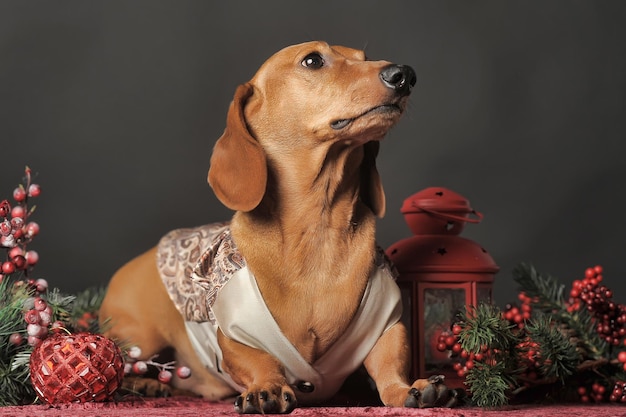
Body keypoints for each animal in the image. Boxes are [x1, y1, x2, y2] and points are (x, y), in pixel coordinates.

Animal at [100, 40, 456, 412]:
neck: (318, 231)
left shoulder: (387, 321)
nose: (404, 75)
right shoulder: (235, 333)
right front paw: (266, 387)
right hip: (140, 338)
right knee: (124, 361)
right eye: (312, 60)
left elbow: (389, 364)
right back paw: (144, 382)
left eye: (364, 57)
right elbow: (259, 360)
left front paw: (409, 389)